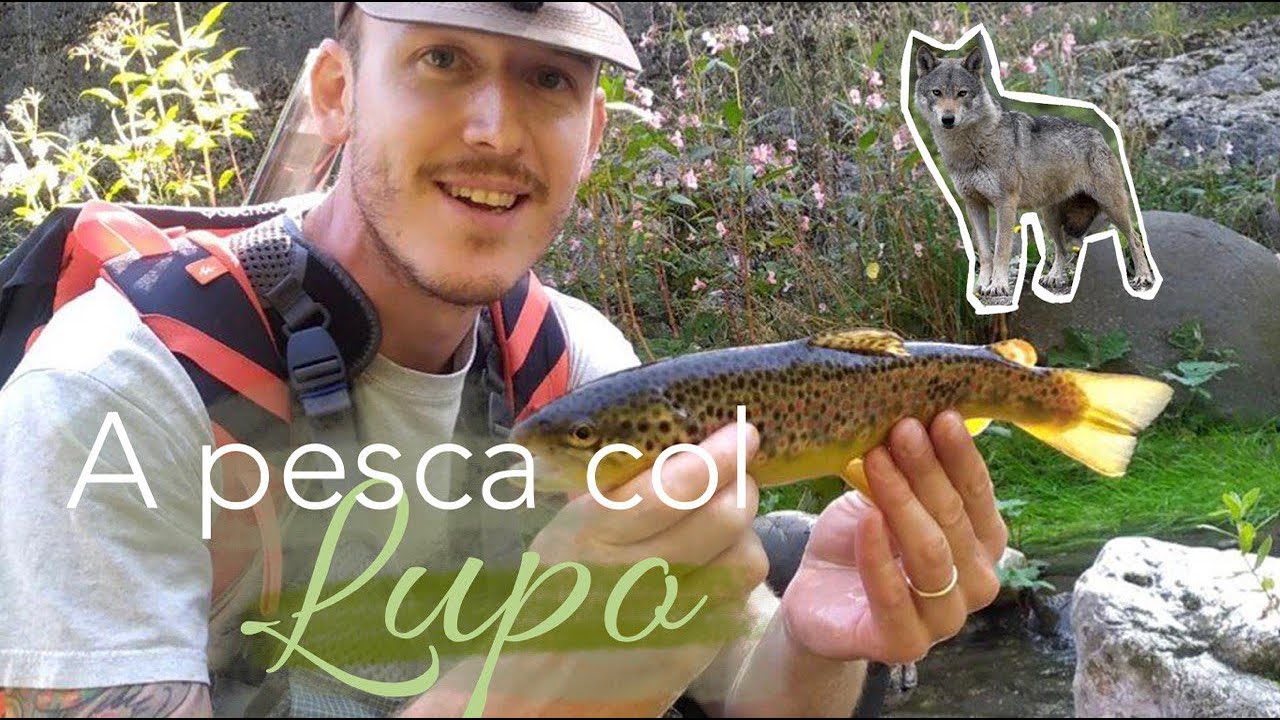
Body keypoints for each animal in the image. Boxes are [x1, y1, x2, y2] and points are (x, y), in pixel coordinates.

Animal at [912, 44, 1156, 299]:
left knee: (1135, 239)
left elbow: (1001, 250)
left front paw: (998, 285)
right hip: (1050, 218)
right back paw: (1054, 277)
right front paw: (981, 285)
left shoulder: (1005, 204)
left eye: (962, 93)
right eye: (937, 92)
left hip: (1112, 208)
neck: (969, 148)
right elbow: (985, 252)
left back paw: (1143, 276)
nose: (948, 119)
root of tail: (1098, 135)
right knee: (1063, 249)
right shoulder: (974, 205)